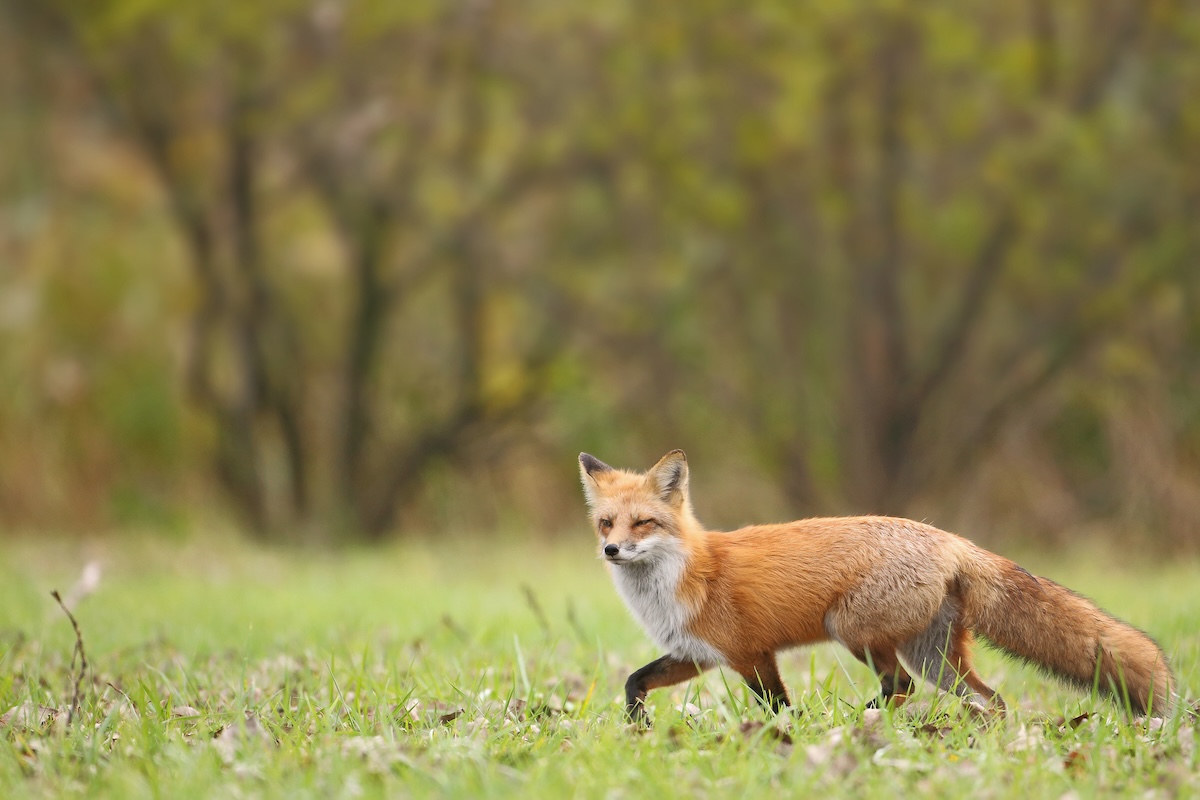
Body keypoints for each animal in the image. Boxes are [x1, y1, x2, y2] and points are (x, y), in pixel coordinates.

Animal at [578, 449, 1175, 724]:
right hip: (936, 658)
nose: (611, 551)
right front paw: (636, 726)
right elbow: (633, 681)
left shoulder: (750, 653)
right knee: (990, 698)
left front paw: (786, 739)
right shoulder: (697, 654)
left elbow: (778, 707)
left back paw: (858, 720)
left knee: (901, 686)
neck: (680, 579)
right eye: (606, 524)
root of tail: (949, 538)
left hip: (852, 630)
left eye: (643, 524)